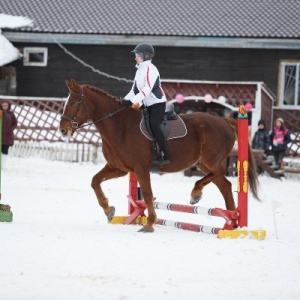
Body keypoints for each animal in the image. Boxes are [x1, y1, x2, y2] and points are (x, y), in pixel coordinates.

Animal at [59, 79, 258, 232]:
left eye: (73, 103)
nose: (62, 129)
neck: (120, 126)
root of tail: (225, 121)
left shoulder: (140, 168)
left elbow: (147, 195)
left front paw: (149, 224)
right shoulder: (118, 168)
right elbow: (95, 181)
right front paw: (109, 210)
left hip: (212, 161)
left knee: (220, 178)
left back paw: (199, 195)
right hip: (203, 163)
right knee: (224, 185)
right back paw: (232, 221)